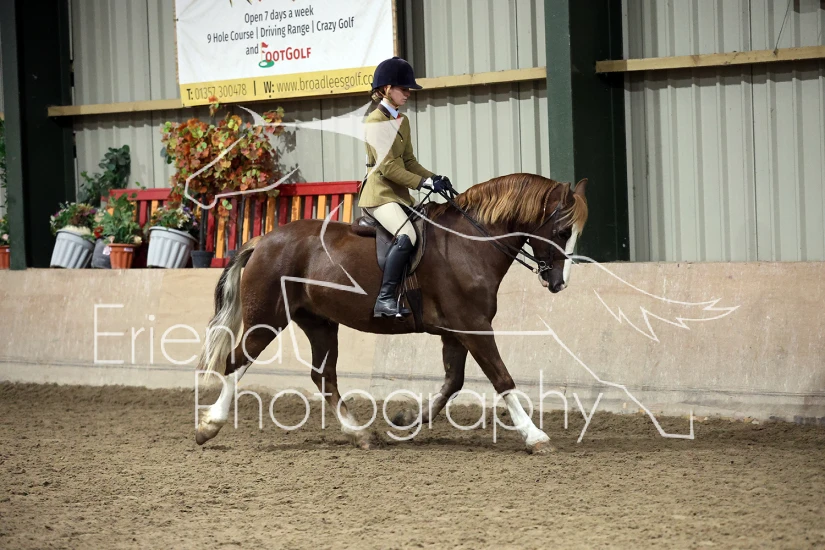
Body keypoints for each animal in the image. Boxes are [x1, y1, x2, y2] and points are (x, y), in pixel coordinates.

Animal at [194, 173, 588, 453]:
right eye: (562, 230)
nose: (559, 284)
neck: (468, 244)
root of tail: (263, 240)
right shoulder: (473, 326)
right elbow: (501, 378)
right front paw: (536, 437)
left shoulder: (456, 332)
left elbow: (452, 383)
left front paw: (405, 422)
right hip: (266, 320)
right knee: (236, 363)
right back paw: (209, 426)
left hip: (320, 323)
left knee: (323, 377)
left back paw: (360, 434)